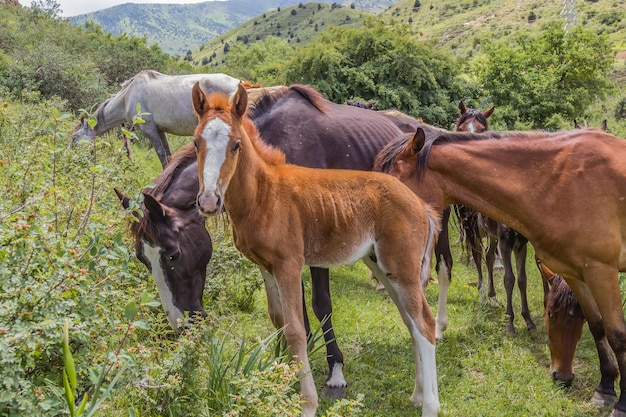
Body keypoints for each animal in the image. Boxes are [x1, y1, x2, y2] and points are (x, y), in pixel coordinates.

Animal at [70, 70, 240, 167]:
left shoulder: (149, 129)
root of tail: (239, 84)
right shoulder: (160, 130)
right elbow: (169, 156)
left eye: (74, 137)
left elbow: (161, 155)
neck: (128, 96)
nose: (69, 156)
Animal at [193, 82, 442, 416]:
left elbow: (297, 330)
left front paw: (307, 403)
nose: (208, 201)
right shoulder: (265, 266)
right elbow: (279, 322)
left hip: (402, 268)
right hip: (384, 268)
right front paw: (282, 380)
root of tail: (421, 205)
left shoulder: (289, 264)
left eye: (236, 145)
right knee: (411, 322)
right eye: (196, 143)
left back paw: (430, 404)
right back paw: (417, 394)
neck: (264, 194)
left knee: (425, 323)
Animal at [372, 127, 624, 416]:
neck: (559, 183)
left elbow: (617, 334)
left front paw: (621, 403)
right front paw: (605, 388)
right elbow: (597, 325)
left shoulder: (600, 270)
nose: (562, 377)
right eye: (550, 314)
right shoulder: (576, 272)